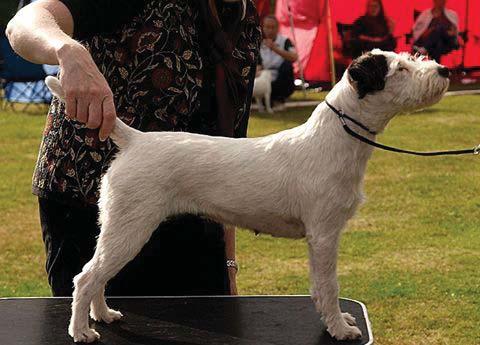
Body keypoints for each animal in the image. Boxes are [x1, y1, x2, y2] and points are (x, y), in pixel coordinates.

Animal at [45, 48, 450, 342]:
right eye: (399, 69)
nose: (444, 70)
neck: (332, 139)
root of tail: (136, 140)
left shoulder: (320, 238)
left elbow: (322, 288)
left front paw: (337, 320)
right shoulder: (323, 236)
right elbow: (328, 285)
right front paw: (339, 328)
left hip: (118, 229)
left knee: (97, 275)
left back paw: (102, 314)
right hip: (130, 229)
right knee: (86, 277)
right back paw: (82, 330)